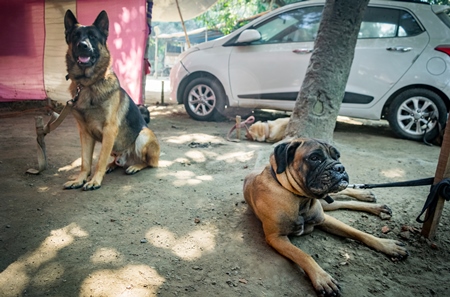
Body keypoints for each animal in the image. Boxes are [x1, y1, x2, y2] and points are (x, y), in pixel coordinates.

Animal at [63, 9, 160, 190]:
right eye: (75, 36)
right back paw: (113, 165)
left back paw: (135, 166)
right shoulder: (84, 132)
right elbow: (85, 162)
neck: (88, 84)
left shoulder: (109, 130)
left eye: (93, 37)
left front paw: (94, 180)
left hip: (143, 135)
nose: (83, 45)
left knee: (148, 163)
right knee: (115, 160)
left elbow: (99, 159)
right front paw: (79, 179)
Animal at [244, 138, 410, 294]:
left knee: (345, 194)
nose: (340, 167)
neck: (300, 198)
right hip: (327, 203)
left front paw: (387, 245)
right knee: (342, 202)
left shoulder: (324, 219)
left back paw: (369, 198)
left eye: (337, 156)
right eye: (314, 158)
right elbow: (303, 255)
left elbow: (357, 232)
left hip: (327, 202)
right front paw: (322, 278)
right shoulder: (276, 238)